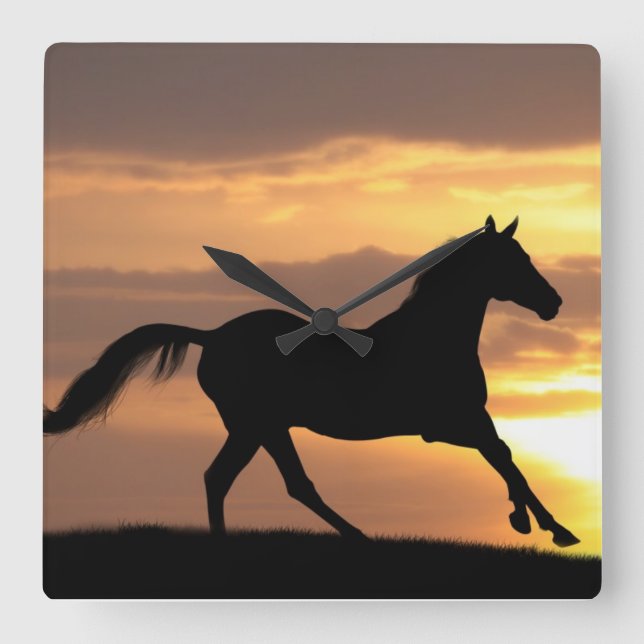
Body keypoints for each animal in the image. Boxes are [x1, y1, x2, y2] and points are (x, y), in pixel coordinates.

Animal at [43, 215, 580, 548]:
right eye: (516, 259)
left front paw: (528, 521)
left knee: (258, 481)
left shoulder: (462, 423)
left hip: (261, 427)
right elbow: (506, 459)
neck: (434, 342)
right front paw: (552, 528)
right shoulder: (449, 424)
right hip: (256, 425)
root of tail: (211, 336)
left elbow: (505, 457)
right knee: (255, 480)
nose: (554, 303)